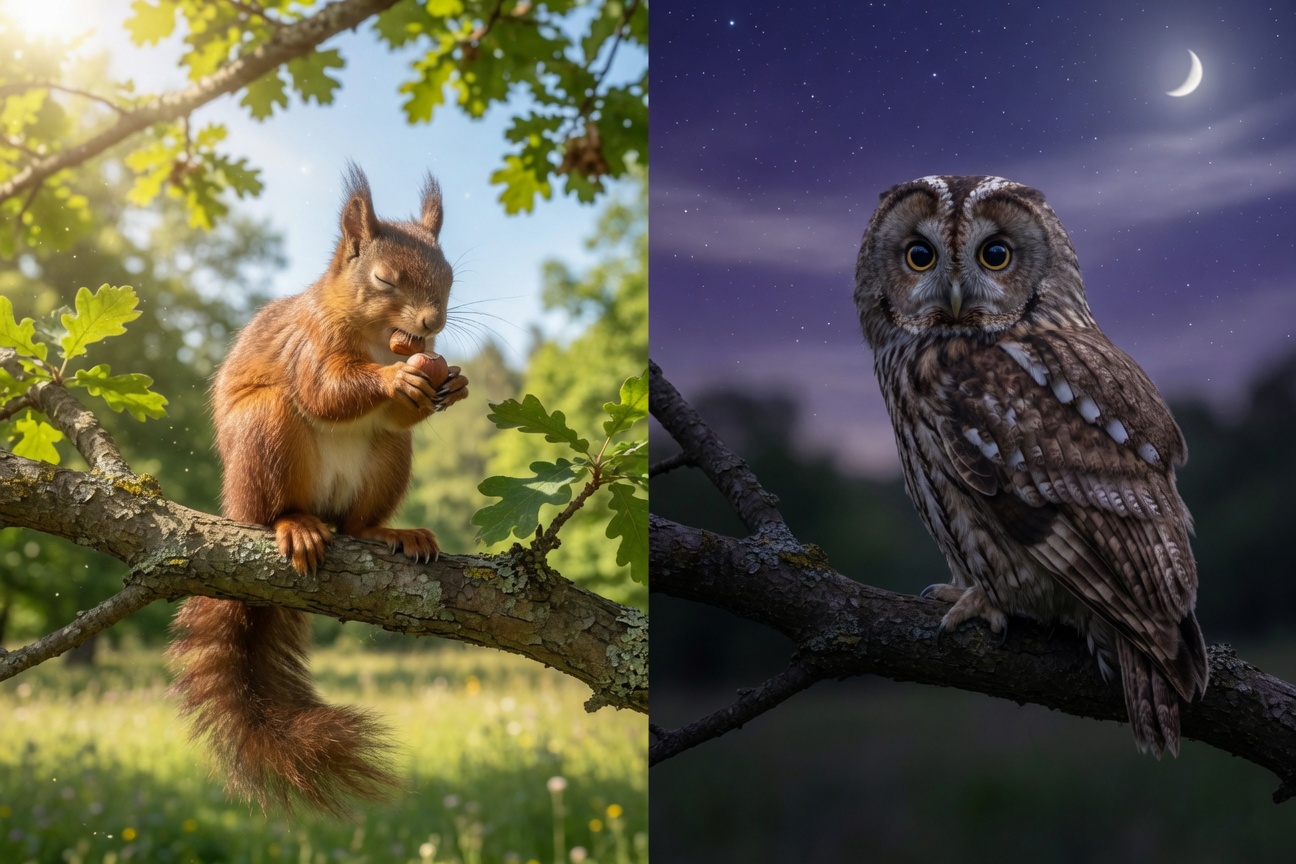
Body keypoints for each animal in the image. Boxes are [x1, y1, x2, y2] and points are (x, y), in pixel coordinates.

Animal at [167, 165, 469, 816]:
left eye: (450, 277)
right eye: (383, 278)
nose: (432, 324)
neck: (381, 338)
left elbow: (402, 409)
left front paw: (452, 383)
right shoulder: (309, 343)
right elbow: (327, 391)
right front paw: (394, 378)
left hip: (389, 459)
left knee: (357, 517)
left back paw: (391, 532)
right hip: (267, 432)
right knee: (275, 506)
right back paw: (294, 526)